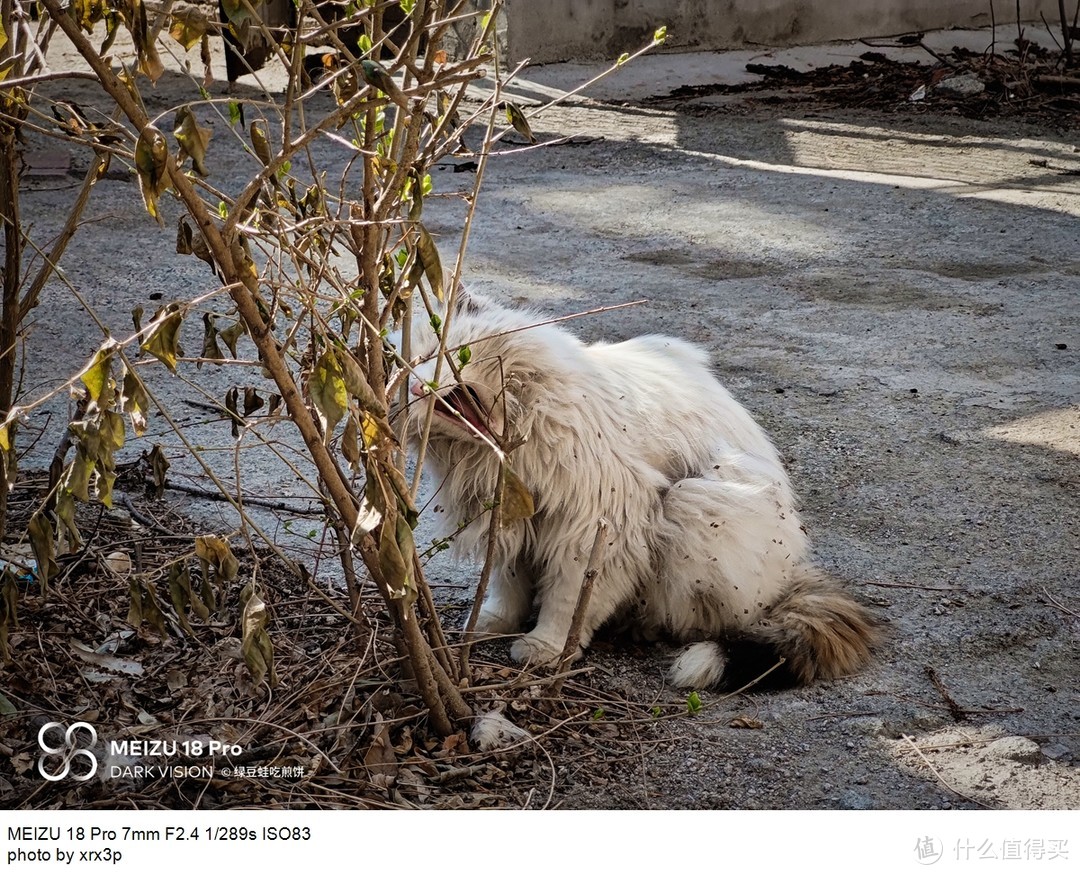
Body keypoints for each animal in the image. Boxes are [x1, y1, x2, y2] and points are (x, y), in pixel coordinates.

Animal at [401, 293, 872, 687]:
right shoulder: (508, 518)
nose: (415, 385)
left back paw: (642, 625)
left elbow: (569, 599)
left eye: (434, 355)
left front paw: (547, 647)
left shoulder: (595, 525)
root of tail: (790, 576)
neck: (503, 446)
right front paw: (493, 621)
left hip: (694, 500)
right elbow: (506, 581)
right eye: (406, 367)